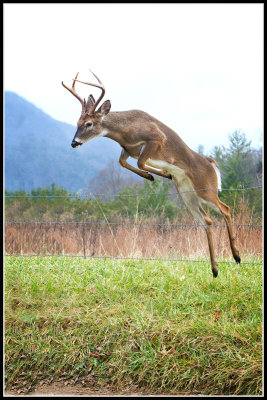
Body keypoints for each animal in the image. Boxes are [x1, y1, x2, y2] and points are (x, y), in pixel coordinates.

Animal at [61, 70, 242, 276]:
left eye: (89, 123)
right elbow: (123, 163)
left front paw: (161, 173)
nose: (74, 142)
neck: (123, 132)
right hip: (187, 194)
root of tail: (211, 164)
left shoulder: (155, 139)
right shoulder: (128, 149)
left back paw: (236, 256)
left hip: (206, 188)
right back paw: (215, 269)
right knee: (207, 220)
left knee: (225, 208)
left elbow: (140, 162)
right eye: (77, 122)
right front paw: (155, 175)